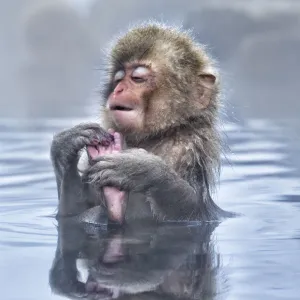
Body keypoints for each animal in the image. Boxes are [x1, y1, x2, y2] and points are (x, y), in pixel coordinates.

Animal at [50, 21, 233, 225]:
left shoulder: (187, 149)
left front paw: (140, 170)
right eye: (118, 79)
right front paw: (66, 145)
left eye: (137, 78)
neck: (154, 136)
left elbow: (194, 212)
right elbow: (68, 215)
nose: (118, 90)